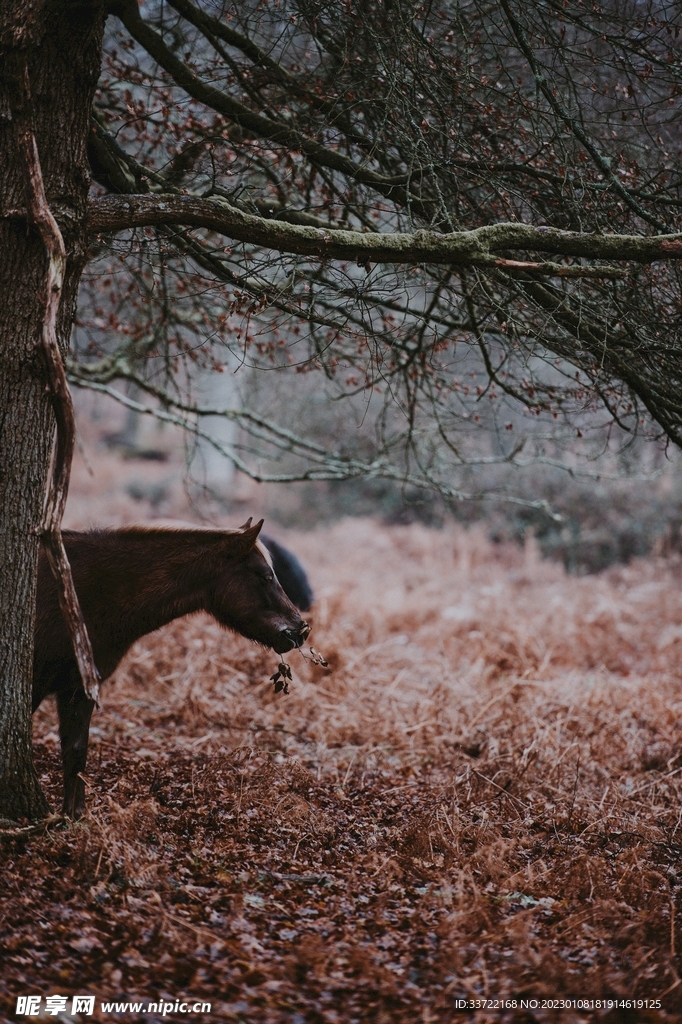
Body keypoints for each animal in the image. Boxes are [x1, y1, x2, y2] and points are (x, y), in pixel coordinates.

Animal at [33, 519, 310, 817]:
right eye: (265, 576)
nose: (300, 630)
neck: (86, 593)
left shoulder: (78, 689)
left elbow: (75, 753)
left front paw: (73, 817)